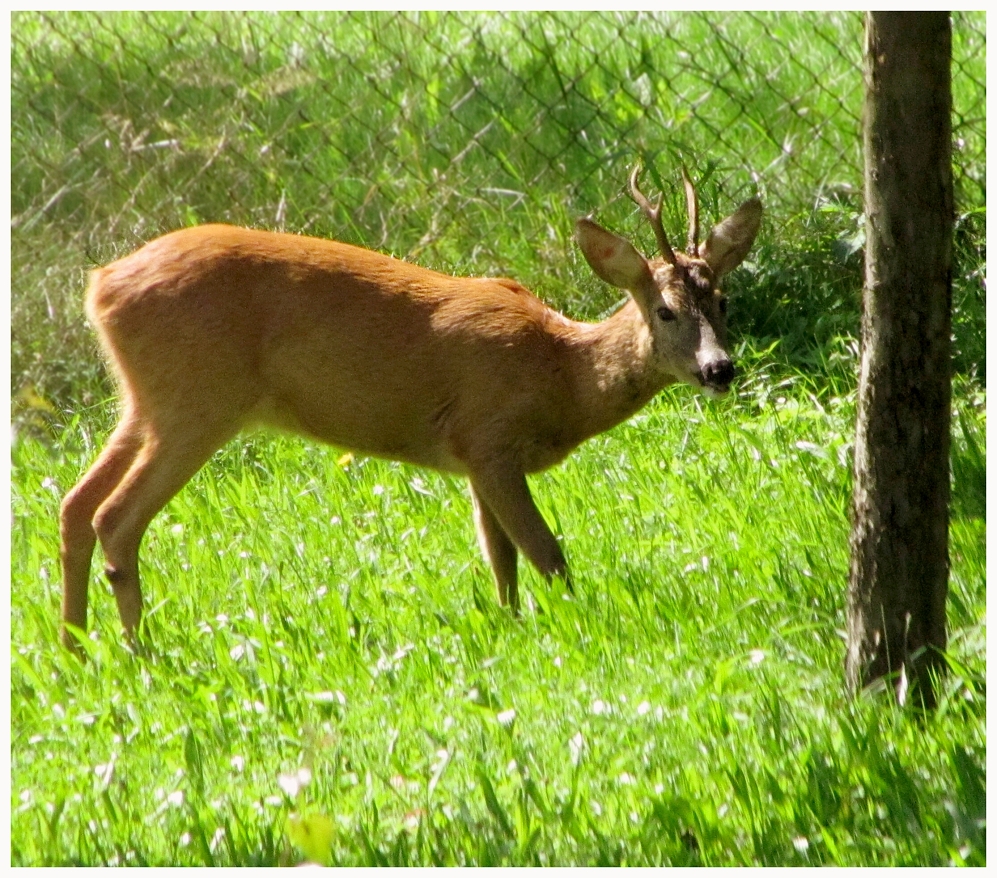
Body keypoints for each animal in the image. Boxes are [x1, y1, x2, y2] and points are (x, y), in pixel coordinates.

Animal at [58, 168, 760, 652]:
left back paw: (76, 650)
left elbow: (500, 560)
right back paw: (139, 652)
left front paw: (510, 627)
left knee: (74, 504)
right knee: (116, 516)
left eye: (724, 301)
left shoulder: (474, 459)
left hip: (145, 401)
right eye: (664, 310)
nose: (719, 369)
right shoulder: (490, 436)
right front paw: (576, 625)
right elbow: (544, 552)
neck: (561, 371)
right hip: (197, 400)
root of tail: (99, 286)